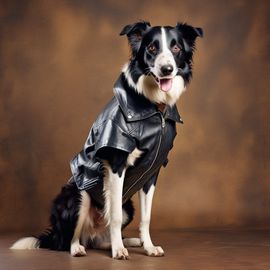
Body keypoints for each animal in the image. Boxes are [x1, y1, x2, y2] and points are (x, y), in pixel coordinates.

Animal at [11, 21, 204, 260]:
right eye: (151, 48)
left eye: (176, 48)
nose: (167, 69)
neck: (154, 107)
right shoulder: (115, 164)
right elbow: (115, 217)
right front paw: (119, 251)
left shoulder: (152, 172)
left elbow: (146, 217)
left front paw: (148, 247)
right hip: (78, 196)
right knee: (69, 239)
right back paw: (79, 248)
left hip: (127, 206)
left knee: (98, 238)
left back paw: (127, 241)